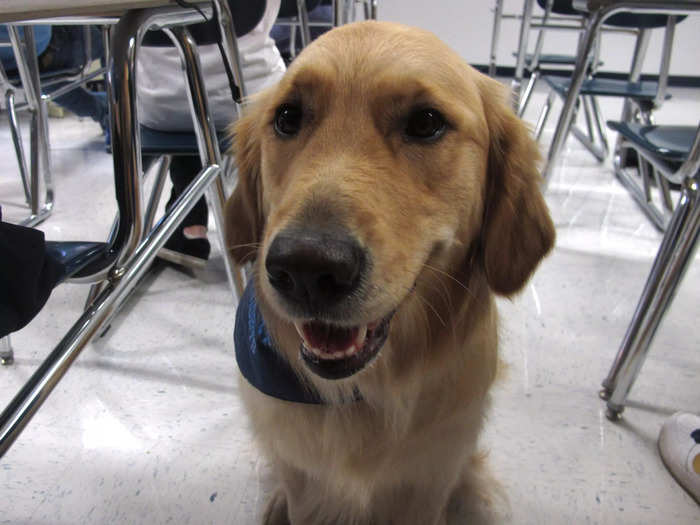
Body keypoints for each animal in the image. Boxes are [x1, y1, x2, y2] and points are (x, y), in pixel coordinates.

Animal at [224, 18, 552, 520]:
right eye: (287, 117)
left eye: (426, 122)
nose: (306, 268)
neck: (366, 390)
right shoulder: (301, 477)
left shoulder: (429, 480)